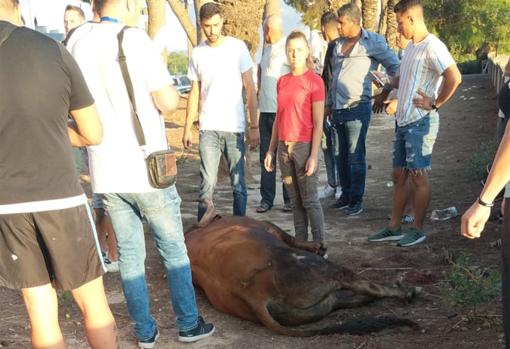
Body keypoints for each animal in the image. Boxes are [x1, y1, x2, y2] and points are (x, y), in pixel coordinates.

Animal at [185, 213, 416, 336]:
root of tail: (254, 297)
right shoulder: (270, 227)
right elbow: (291, 236)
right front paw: (317, 245)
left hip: (319, 305)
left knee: (345, 299)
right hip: (323, 270)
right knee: (366, 285)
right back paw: (407, 291)